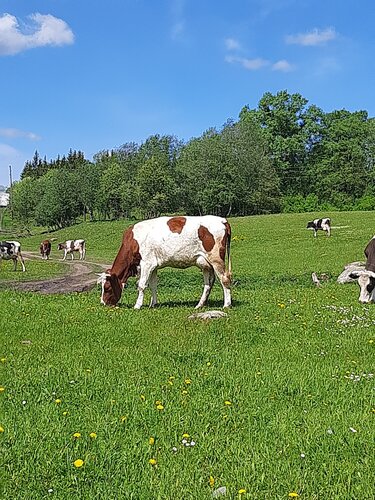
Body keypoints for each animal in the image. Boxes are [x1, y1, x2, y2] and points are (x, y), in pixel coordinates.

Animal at [97, 215, 232, 308]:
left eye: (107, 288)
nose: (103, 303)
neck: (133, 241)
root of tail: (222, 220)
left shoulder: (146, 263)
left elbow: (141, 285)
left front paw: (137, 306)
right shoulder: (153, 266)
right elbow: (153, 285)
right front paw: (153, 304)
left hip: (216, 259)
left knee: (224, 279)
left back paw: (226, 305)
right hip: (206, 264)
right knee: (209, 283)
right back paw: (200, 305)